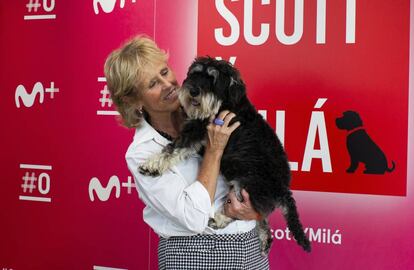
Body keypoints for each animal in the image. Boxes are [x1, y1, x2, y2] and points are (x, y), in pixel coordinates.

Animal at [139, 56, 310, 253]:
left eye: (213, 79)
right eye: (195, 73)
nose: (193, 91)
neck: (227, 103)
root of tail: (283, 190)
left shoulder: (196, 131)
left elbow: (172, 148)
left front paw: (150, 165)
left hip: (245, 184)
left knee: (246, 211)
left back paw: (220, 219)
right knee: (260, 215)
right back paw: (265, 238)